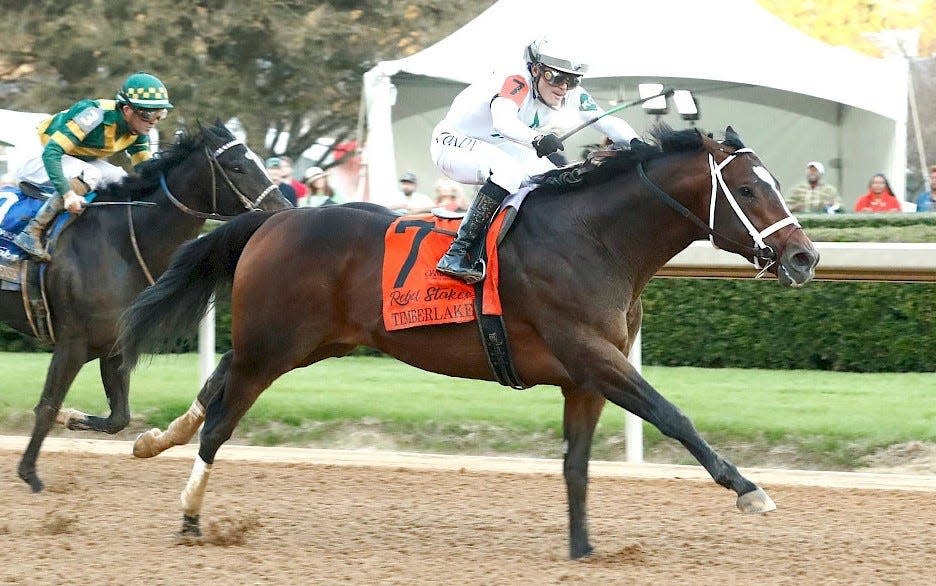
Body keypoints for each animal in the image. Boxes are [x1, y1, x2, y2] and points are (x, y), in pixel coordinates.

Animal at [0, 121, 292, 490]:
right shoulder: (72, 342)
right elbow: (48, 404)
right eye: (237, 166)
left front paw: (74, 417)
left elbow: (118, 418)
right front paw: (30, 474)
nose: (284, 210)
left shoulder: (113, 345)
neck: (121, 243)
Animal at [117, 126, 820, 556]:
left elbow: (576, 463)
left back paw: (154, 440)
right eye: (749, 188)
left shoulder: (586, 375)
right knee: (221, 421)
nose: (806, 257)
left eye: (774, 182)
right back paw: (189, 515)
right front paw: (749, 490)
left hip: (300, 342)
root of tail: (272, 219)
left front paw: (583, 548)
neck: (595, 238)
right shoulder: (593, 355)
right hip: (275, 346)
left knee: (217, 383)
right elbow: (673, 415)